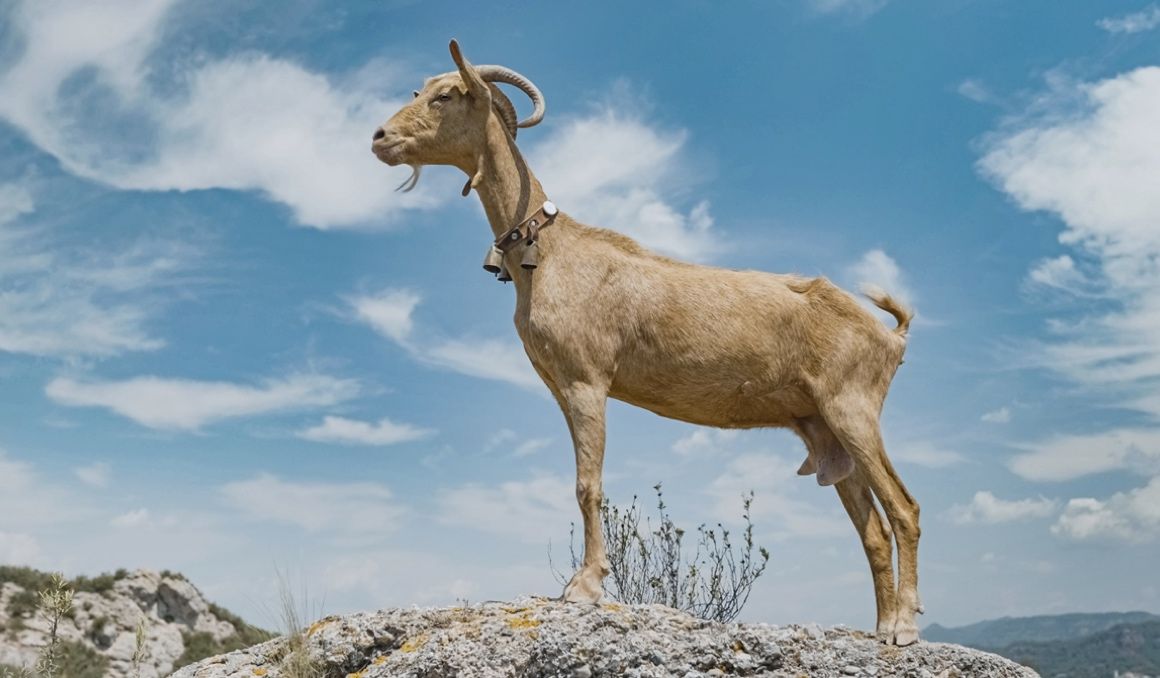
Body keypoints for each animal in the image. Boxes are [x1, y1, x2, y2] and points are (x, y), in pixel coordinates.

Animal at [372, 40, 922, 646]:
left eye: (446, 95)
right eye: (417, 90)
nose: (380, 137)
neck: (548, 252)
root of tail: (891, 335)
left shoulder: (587, 378)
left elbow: (588, 484)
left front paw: (585, 586)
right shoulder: (561, 385)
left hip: (853, 407)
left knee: (905, 509)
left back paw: (904, 627)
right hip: (825, 429)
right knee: (872, 530)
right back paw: (880, 627)